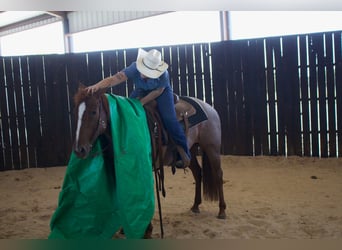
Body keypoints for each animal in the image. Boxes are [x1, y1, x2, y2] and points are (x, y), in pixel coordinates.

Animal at [72, 85, 227, 237]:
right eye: (76, 112)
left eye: (93, 112)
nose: (80, 150)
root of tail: (209, 107)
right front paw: (125, 228)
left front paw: (147, 229)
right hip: (191, 150)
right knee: (198, 172)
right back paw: (195, 206)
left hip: (211, 148)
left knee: (218, 175)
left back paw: (222, 211)